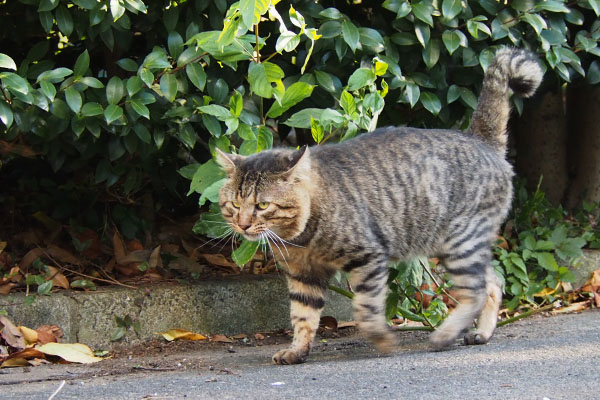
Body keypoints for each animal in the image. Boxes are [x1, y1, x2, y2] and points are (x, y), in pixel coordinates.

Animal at [214, 47, 544, 366]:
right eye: (235, 204)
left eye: (262, 205)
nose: (243, 224)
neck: (301, 238)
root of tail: (480, 140)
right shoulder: (303, 275)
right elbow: (302, 317)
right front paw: (297, 350)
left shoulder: (368, 258)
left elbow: (365, 309)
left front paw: (383, 340)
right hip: (454, 246)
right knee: (493, 283)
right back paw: (481, 333)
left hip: (460, 242)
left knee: (475, 291)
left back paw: (444, 335)